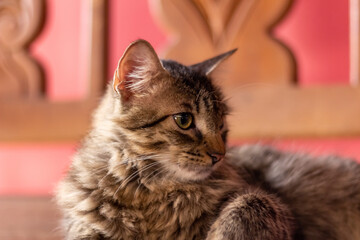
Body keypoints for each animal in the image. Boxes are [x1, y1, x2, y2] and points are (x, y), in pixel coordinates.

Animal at [55, 38, 360, 239]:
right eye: (184, 120)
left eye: (221, 123)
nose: (219, 155)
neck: (149, 193)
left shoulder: (270, 206)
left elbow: (242, 209)